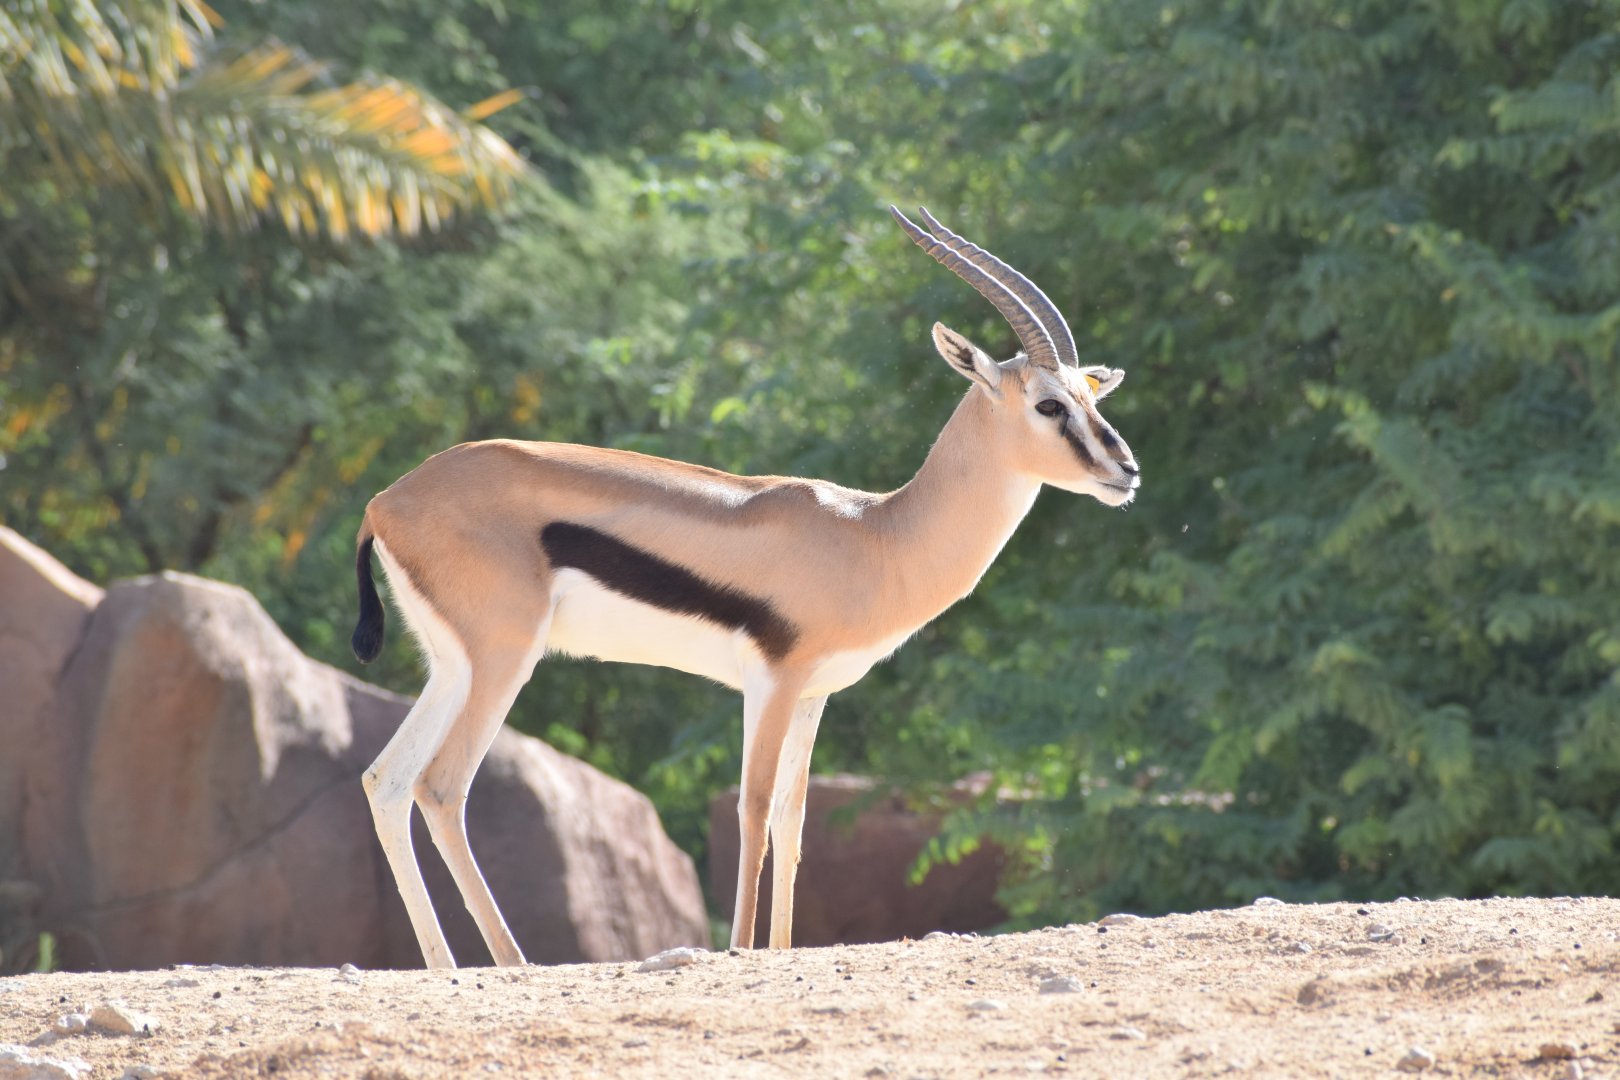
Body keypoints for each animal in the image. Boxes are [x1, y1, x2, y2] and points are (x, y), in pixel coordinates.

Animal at [350, 207, 1139, 967]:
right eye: (1048, 405)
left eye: (1087, 396)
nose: (1126, 470)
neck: (874, 535)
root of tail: (385, 502)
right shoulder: (773, 682)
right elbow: (753, 810)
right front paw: (738, 948)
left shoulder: (814, 695)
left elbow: (792, 819)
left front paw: (782, 948)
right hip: (503, 661)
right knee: (441, 787)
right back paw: (511, 961)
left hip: (453, 667)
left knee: (387, 780)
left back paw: (445, 964)